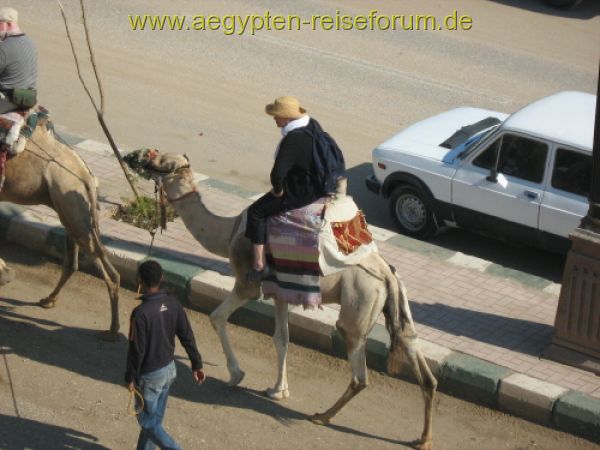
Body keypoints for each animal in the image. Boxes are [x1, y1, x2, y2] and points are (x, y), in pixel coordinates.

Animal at [0, 118, 122, 340]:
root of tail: (87, 177)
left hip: (69, 204)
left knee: (104, 267)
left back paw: (111, 330)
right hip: (72, 210)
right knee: (77, 261)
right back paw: (49, 300)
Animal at [124, 149, 438, 448]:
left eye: (163, 163)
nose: (135, 157)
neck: (228, 233)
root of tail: (386, 274)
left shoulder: (247, 283)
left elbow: (217, 317)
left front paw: (237, 375)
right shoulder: (281, 291)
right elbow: (282, 337)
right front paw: (278, 389)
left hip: (358, 305)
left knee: (359, 371)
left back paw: (322, 416)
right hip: (397, 303)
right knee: (418, 359)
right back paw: (422, 438)